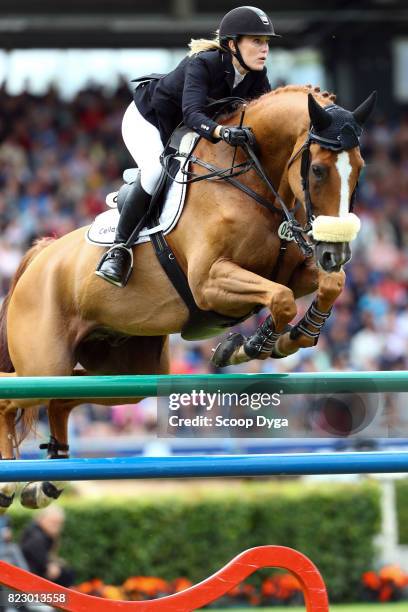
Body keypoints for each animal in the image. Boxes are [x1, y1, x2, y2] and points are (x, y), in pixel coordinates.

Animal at [0, 83, 376, 510]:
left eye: (360, 168)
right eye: (318, 170)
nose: (335, 252)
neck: (251, 183)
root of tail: (41, 254)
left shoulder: (292, 271)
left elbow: (330, 285)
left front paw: (296, 336)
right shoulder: (210, 281)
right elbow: (280, 298)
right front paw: (249, 347)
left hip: (127, 373)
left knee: (62, 398)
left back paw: (44, 485)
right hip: (44, 363)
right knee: (12, 399)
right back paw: (10, 484)